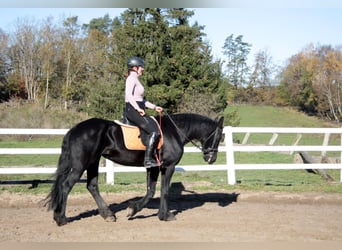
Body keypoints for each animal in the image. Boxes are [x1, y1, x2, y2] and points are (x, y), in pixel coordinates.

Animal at [44, 112, 223, 226]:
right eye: (220, 136)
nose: (211, 158)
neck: (174, 132)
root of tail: (73, 130)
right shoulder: (168, 167)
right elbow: (164, 190)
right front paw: (165, 216)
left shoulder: (154, 167)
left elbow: (151, 191)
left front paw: (134, 210)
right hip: (80, 165)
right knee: (66, 186)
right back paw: (61, 218)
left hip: (93, 162)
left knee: (92, 186)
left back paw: (108, 215)